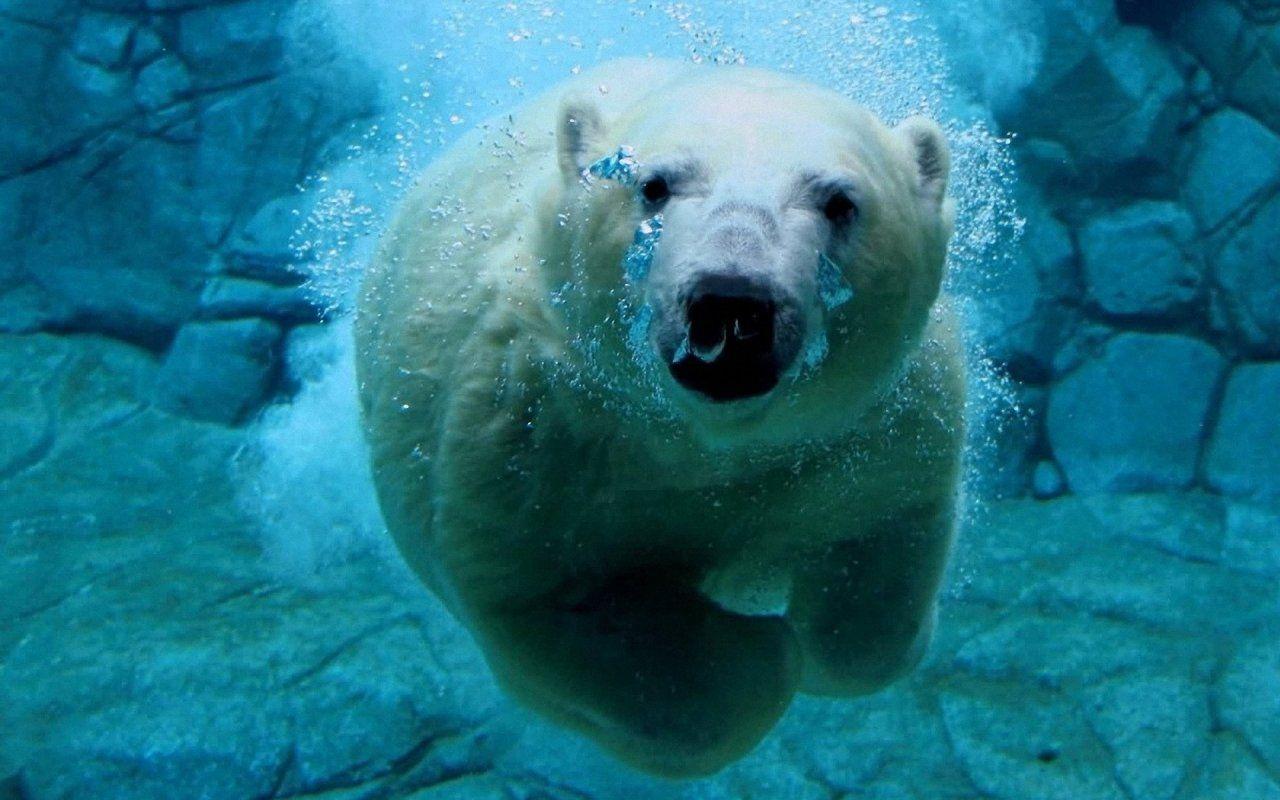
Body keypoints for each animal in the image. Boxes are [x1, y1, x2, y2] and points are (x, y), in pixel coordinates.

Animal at [356, 58, 963, 778]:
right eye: (653, 185)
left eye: (840, 201)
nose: (732, 303)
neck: (703, 441)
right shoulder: (530, 437)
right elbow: (565, 611)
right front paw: (762, 651)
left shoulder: (874, 426)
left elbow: (879, 554)